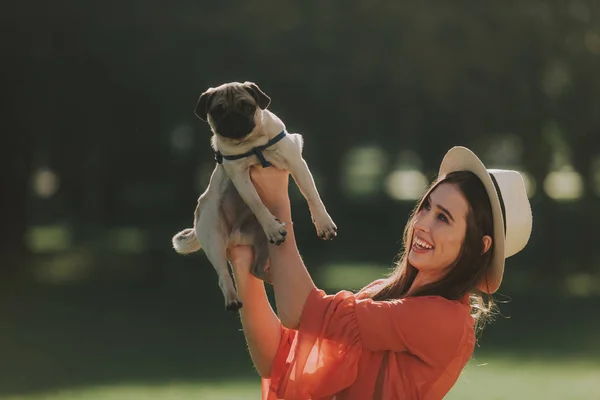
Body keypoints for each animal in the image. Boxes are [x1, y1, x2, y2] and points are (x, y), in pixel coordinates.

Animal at [171, 81, 338, 310]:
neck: (252, 146)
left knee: (256, 269)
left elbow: (312, 195)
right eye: (217, 111)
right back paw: (233, 299)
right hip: (213, 236)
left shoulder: (296, 161)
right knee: (223, 275)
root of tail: (234, 235)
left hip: (262, 243)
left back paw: (275, 279)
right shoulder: (240, 176)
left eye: (247, 107)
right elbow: (257, 204)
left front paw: (323, 223)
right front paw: (272, 226)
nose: (233, 117)